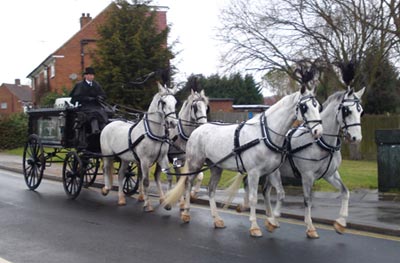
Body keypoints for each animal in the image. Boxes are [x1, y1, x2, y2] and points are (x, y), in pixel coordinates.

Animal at [99, 82, 177, 212]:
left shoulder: (162, 158)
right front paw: (147, 205)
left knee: (121, 174)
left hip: (125, 159)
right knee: (105, 169)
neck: (154, 132)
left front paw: (167, 203)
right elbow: (145, 182)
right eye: (164, 102)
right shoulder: (144, 160)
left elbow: (169, 177)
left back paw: (121, 198)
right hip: (107, 155)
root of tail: (110, 123)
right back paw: (106, 189)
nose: (173, 123)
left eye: (175, 102)